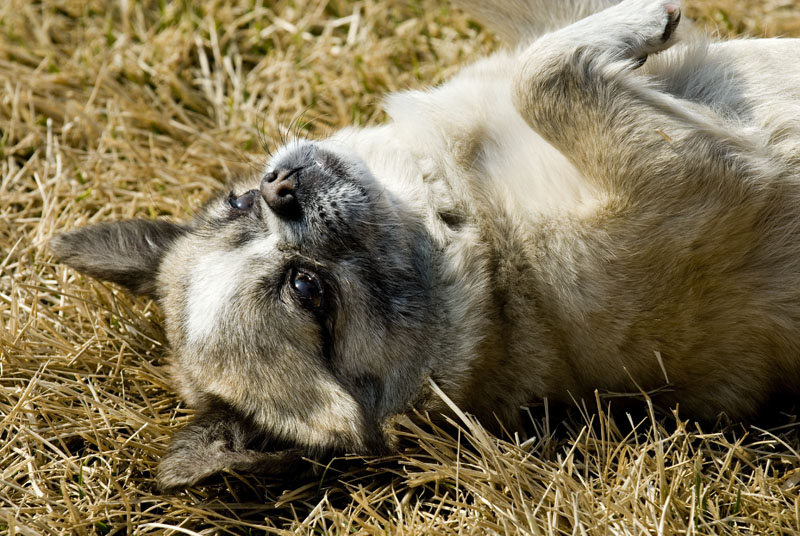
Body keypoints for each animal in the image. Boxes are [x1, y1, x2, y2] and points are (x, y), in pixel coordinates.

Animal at [48, 0, 800, 490]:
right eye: (308, 291)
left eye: (238, 205)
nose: (278, 188)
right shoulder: (696, 175)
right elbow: (540, 77)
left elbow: (530, 37)